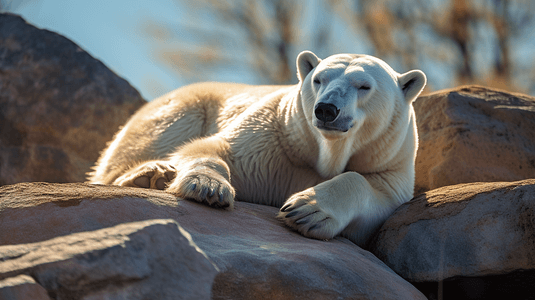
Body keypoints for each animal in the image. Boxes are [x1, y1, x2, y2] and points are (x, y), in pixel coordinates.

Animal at [89, 50, 428, 246]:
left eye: (364, 86)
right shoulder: (274, 135)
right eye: (318, 79)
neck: (323, 151)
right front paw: (208, 187)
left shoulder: (389, 161)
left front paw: (307, 210)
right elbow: (216, 149)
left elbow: (377, 195)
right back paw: (151, 173)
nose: (326, 110)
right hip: (180, 107)